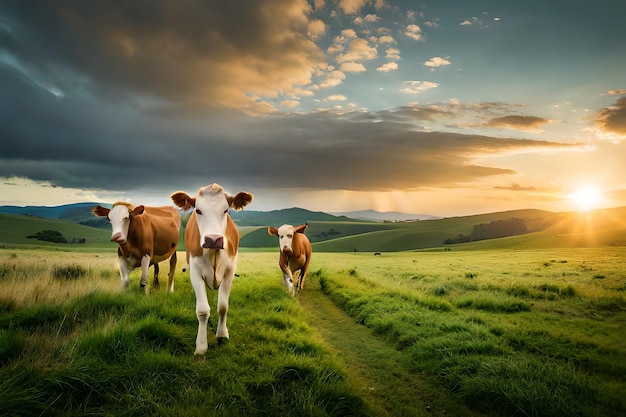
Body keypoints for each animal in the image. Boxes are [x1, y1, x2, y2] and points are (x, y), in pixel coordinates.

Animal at [169, 184, 252, 352]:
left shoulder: (229, 272)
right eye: (198, 210)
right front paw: (201, 346)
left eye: (226, 210)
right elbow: (202, 310)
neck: (214, 252)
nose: (213, 239)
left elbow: (223, 307)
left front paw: (222, 334)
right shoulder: (195, 272)